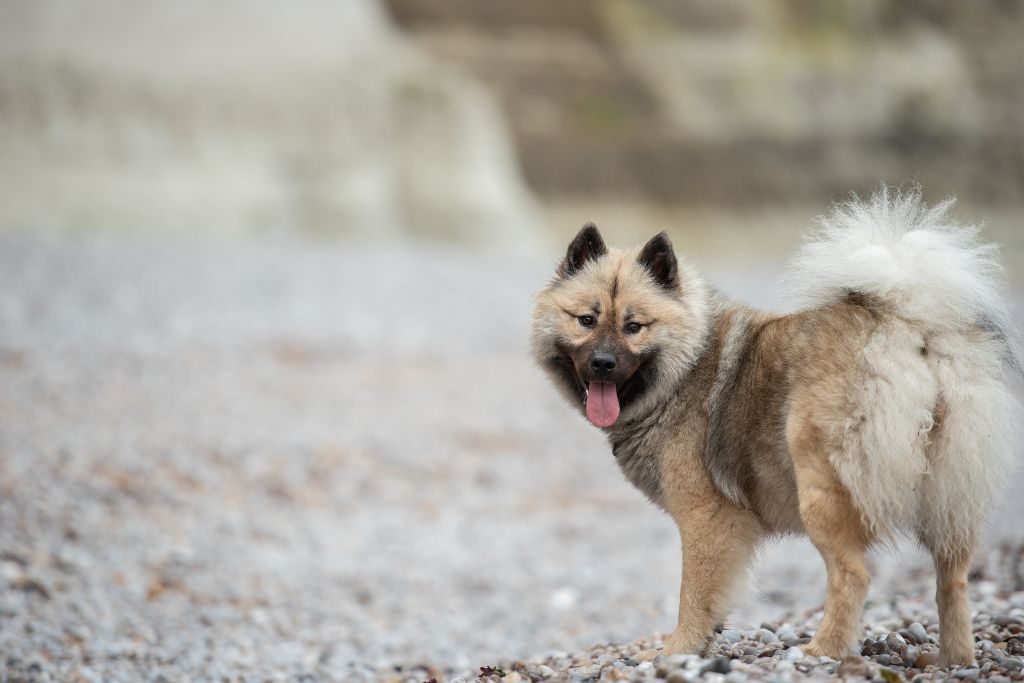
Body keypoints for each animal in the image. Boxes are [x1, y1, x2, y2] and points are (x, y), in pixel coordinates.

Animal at [532, 188, 1019, 667]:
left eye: (634, 326)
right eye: (586, 320)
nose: (603, 363)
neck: (685, 369)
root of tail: (910, 328)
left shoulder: (707, 518)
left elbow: (694, 595)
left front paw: (677, 651)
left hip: (823, 490)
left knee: (853, 575)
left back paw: (823, 651)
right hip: (951, 495)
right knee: (953, 582)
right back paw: (955, 659)